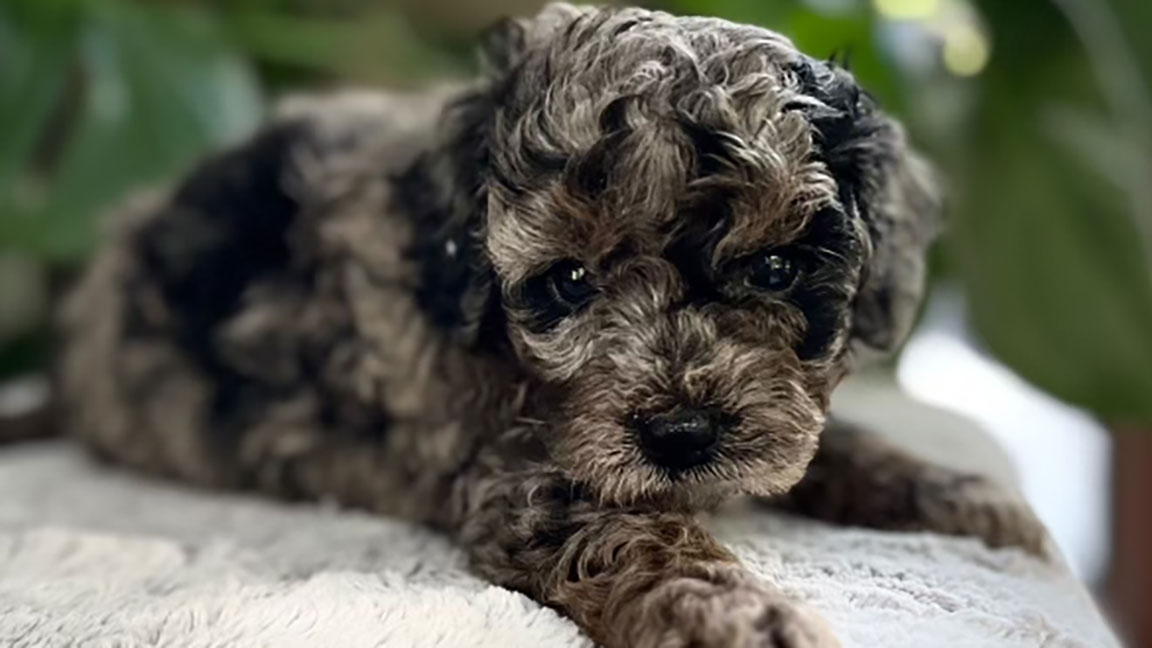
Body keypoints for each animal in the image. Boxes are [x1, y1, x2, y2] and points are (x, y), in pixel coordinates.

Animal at [54, 3, 1050, 641]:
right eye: (567, 284)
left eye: (774, 269)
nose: (681, 435)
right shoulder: (525, 481)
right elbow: (643, 540)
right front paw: (742, 615)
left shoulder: (775, 405)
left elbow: (830, 441)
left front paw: (970, 503)